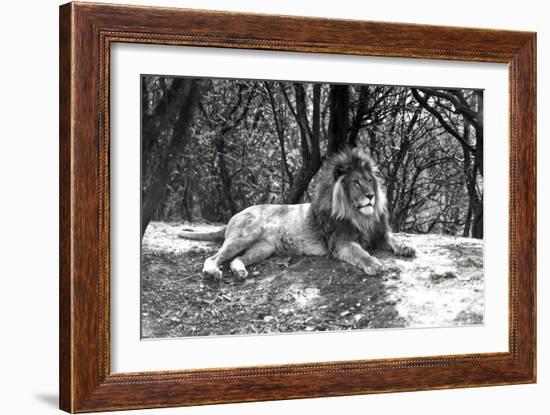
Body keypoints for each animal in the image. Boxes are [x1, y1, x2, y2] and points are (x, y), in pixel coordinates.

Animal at [179, 147, 416, 280]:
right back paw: (212, 272)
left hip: (263, 248)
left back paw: (239, 272)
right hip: (245, 235)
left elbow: (393, 238)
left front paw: (406, 247)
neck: (360, 216)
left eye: (369, 180)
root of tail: (236, 215)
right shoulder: (341, 243)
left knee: (235, 260)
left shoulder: (378, 233)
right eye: (356, 182)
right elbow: (361, 253)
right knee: (213, 258)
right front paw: (373, 263)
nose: (371, 196)